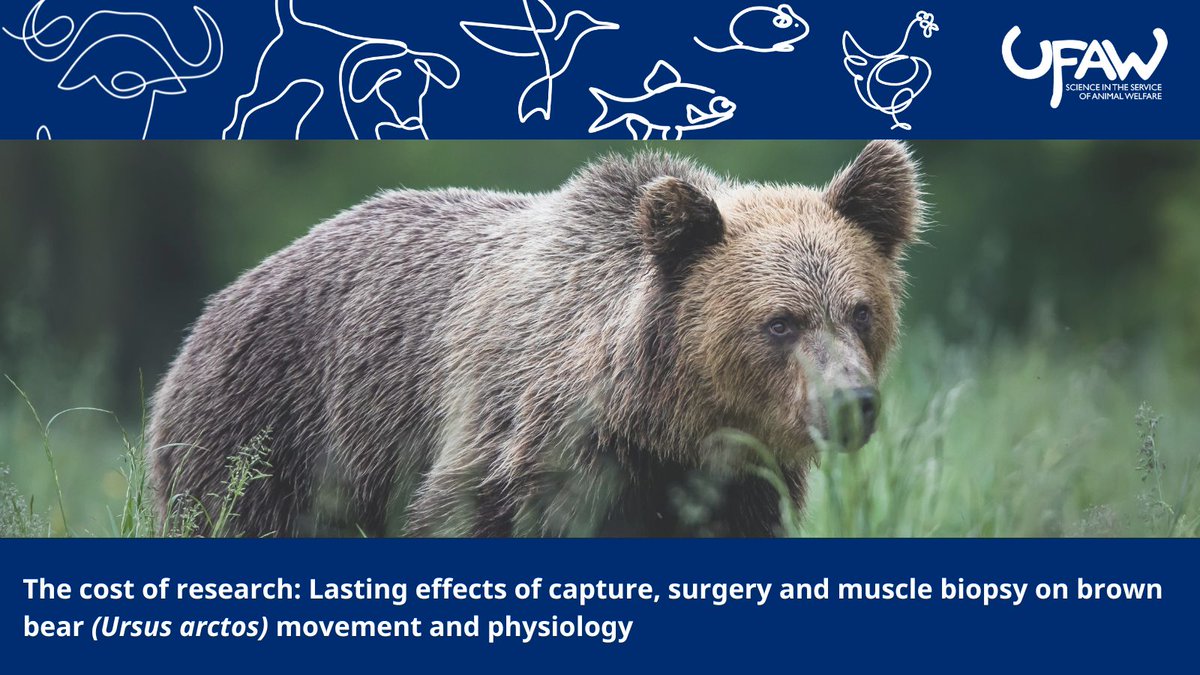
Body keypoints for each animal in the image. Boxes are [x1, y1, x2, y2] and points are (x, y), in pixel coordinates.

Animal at [147, 140, 923, 537]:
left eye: (859, 311)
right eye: (780, 321)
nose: (852, 402)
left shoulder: (728, 485)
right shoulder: (517, 450)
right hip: (272, 435)